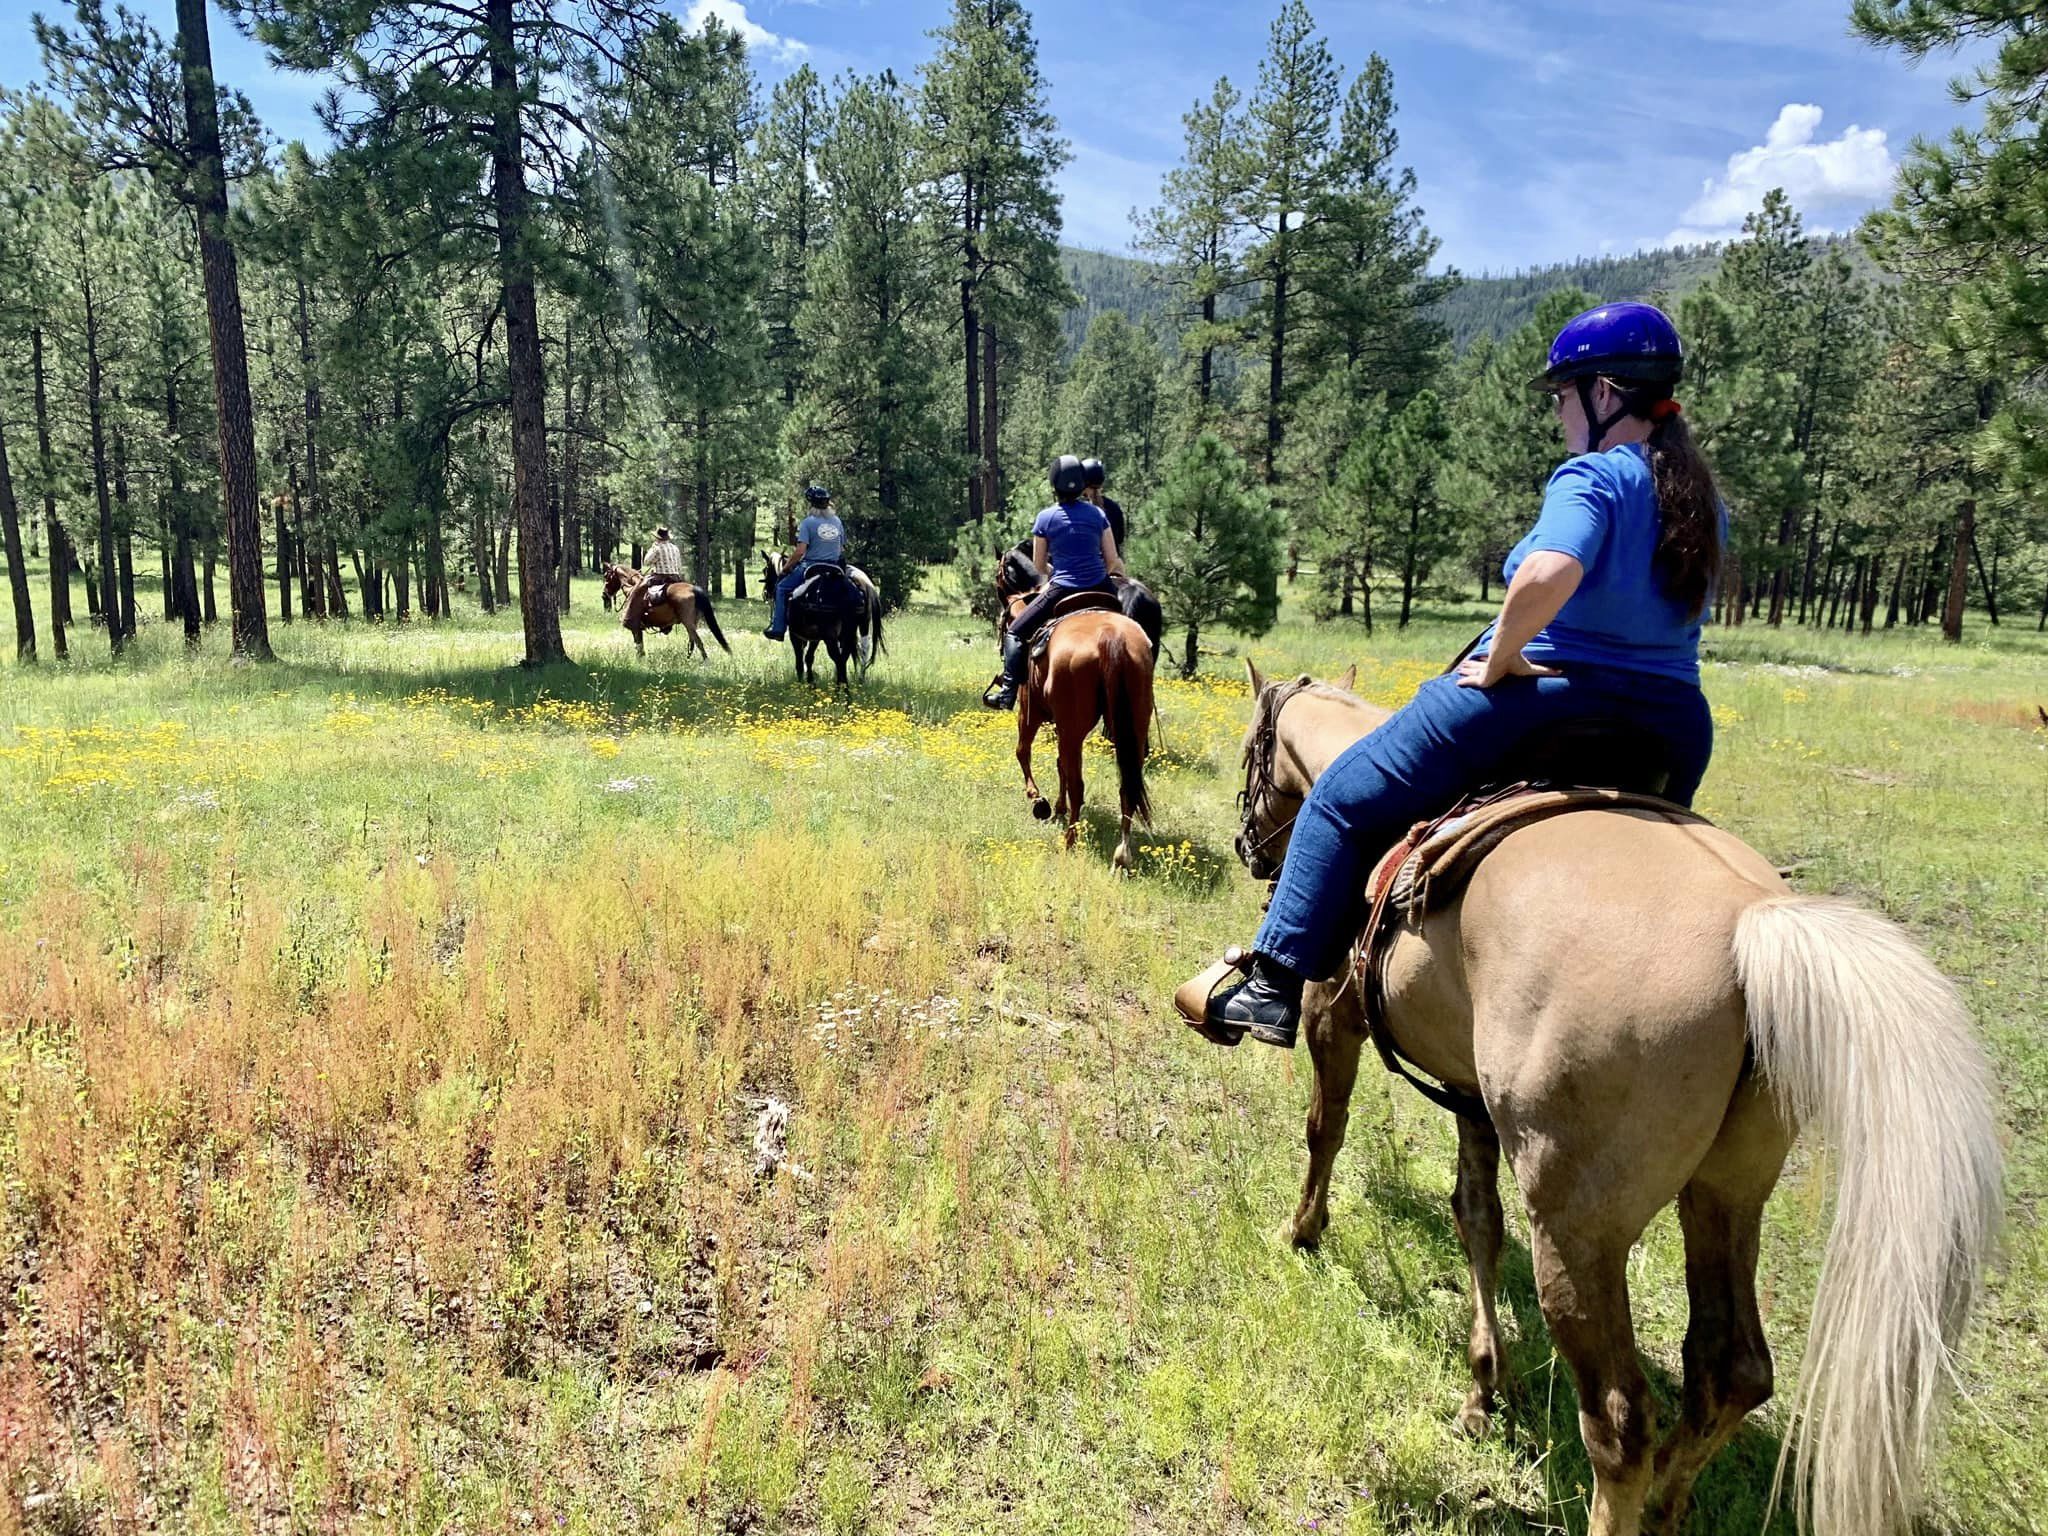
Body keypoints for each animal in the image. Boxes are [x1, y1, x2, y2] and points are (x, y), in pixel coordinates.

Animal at [602, 565, 733, 663]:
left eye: (607, 576)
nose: (604, 594)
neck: (631, 588)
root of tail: (694, 590)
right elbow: (640, 646)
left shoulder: (635, 628)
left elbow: (639, 646)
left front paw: (640, 661)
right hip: (693, 623)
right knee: (692, 643)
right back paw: (687, 660)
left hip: (688, 623)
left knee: (698, 642)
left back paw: (705, 662)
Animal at [757, 552, 876, 692]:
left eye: (765, 570)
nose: (766, 593)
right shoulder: (815, 637)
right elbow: (809, 658)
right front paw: (811, 685)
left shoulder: (795, 634)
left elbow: (800, 661)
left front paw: (801, 686)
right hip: (851, 631)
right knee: (850, 654)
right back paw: (846, 689)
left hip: (832, 636)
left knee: (839, 659)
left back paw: (841, 692)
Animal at [999, 565, 1163, 876]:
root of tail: (1111, 636)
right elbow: (1059, 764)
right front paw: (1057, 806)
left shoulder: (1031, 711)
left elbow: (1023, 752)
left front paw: (1039, 801)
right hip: (1132, 727)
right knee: (1127, 786)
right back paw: (1121, 856)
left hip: (1070, 727)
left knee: (1078, 785)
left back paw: (1070, 841)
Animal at [1228, 663, 1998, 1536]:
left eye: (1253, 751)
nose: (1248, 848)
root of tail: (1751, 922)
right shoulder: (1473, 1096)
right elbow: (1476, 1218)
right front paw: (1483, 1386)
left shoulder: (1331, 1013)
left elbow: (1325, 1127)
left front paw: (1303, 1231)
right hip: (1728, 1193)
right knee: (1732, 1369)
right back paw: (1668, 1506)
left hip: (1578, 1229)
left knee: (1621, 1422)